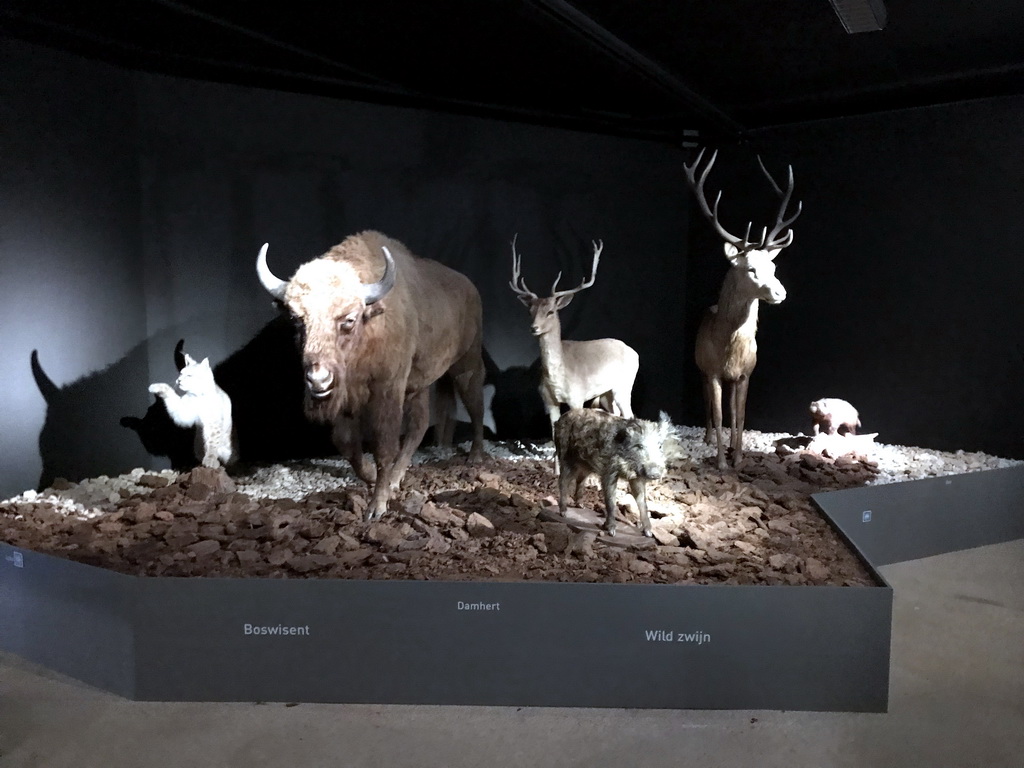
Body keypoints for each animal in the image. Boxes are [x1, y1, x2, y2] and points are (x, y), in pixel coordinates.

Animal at [262, 225, 489, 520]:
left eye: (348, 319)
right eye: (296, 319)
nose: (318, 380)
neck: (369, 325)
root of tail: (470, 288)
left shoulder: (387, 389)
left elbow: (383, 445)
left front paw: (376, 507)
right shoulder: (348, 396)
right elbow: (346, 441)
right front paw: (370, 477)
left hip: (466, 366)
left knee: (475, 405)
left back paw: (475, 456)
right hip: (418, 385)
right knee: (419, 424)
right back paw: (397, 477)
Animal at [507, 237, 634, 448]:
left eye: (550, 311)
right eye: (530, 311)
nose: (534, 328)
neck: (557, 377)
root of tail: (634, 353)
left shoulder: (577, 397)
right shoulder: (549, 401)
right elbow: (554, 433)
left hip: (624, 386)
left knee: (630, 414)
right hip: (607, 393)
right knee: (616, 415)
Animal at [684, 149, 802, 473]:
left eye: (773, 266)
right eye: (750, 269)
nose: (781, 292)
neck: (730, 352)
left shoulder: (746, 373)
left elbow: (740, 414)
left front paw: (738, 457)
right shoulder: (711, 370)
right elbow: (719, 414)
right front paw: (721, 462)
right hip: (699, 368)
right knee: (708, 404)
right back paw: (708, 438)